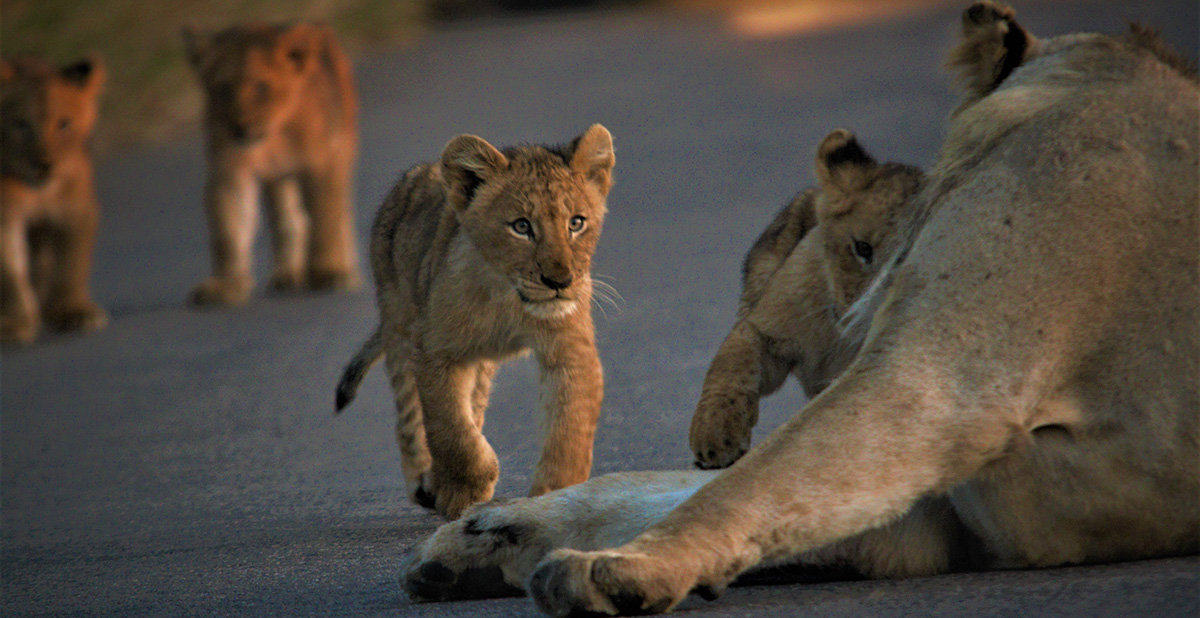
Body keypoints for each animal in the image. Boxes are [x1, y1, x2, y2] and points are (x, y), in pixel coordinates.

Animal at [1, 56, 109, 344]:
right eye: (21, 124)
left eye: (64, 124)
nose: (44, 165)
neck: (37, 191)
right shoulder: (4, 216)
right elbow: (9, 273)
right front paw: (15, 323)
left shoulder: (75, 209)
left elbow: (70, 262)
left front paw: (72, 312)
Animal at [183, 21, 360, 306]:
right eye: (223, 89)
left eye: (261, 87)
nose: (239, 127)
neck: (270, 139)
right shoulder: (229, 172)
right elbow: (228, 231)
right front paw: (226, 286)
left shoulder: (321, 163)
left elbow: (326, 216)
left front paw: (329, 272)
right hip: (279, 179)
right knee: (288, 219)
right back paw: (288, 274)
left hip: (341, 146)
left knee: (340, 212)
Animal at [335, 125, 617, 519]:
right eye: (521, 226)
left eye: (576, 223)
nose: (559, 282)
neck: (507, 297)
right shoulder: (435, 351)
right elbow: (450, 429)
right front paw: (465, 490)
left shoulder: (569, 348)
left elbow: (569, 430)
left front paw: (556, 497)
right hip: (399, 324)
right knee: (410, 417)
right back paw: (426, 483)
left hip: (477, 363)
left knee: (474, 407)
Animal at [399, 4, 1199, 615]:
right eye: (860, 248)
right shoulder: (943, 502)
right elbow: (709, 484)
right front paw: (490, 535)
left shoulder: (940, 388)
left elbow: (740, 488)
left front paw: (612, 569)